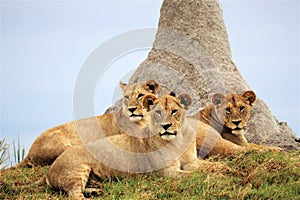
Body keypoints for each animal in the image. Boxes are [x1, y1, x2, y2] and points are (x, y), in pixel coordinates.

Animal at [43, 93, 229, 199]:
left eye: (174, 111)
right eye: (158, 112)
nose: (165, 126)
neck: (179, 139)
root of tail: (50, 170)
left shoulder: (191, 162)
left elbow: (211, 166)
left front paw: (227, 170)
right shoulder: (167, 172)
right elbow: (195, 175)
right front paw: (218, 178)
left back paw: (96, 191)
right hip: (77, 170)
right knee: (74, 194)